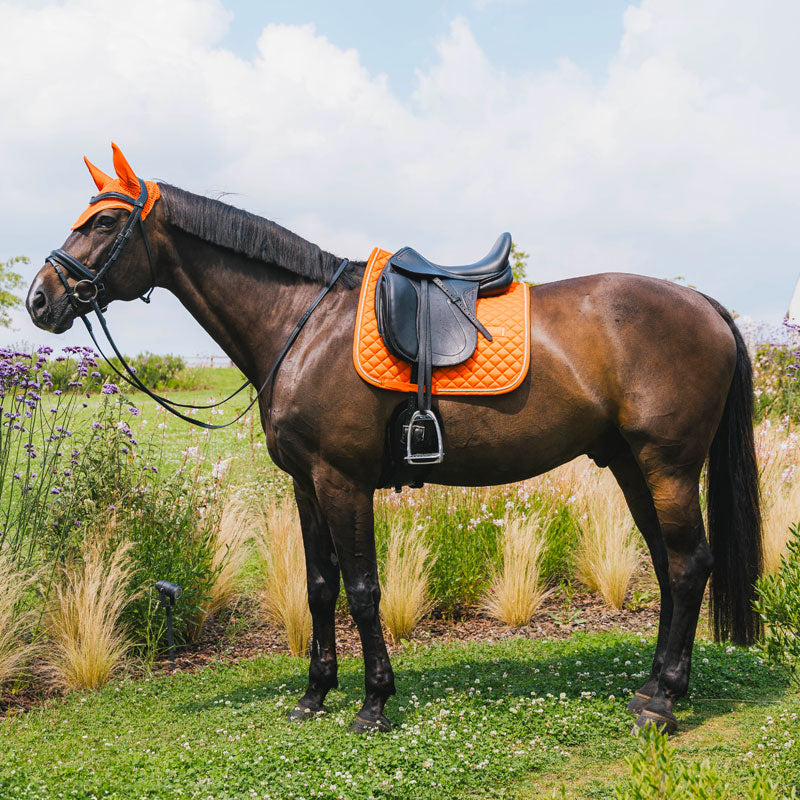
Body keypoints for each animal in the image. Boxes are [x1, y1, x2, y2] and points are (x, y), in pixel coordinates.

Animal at [26, 147, 764, 736]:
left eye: (104, 222)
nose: (40, 298)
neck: (302, 323)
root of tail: (706, 305)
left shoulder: (342, 479)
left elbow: (362, 588)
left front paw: (373, 703)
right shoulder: (305, 483)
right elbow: (320, 587)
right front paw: (314, 695)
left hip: (668, 466)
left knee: (689, 564)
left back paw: (663, 701)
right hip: (632, 465)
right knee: (668, 566)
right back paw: (652, 685)